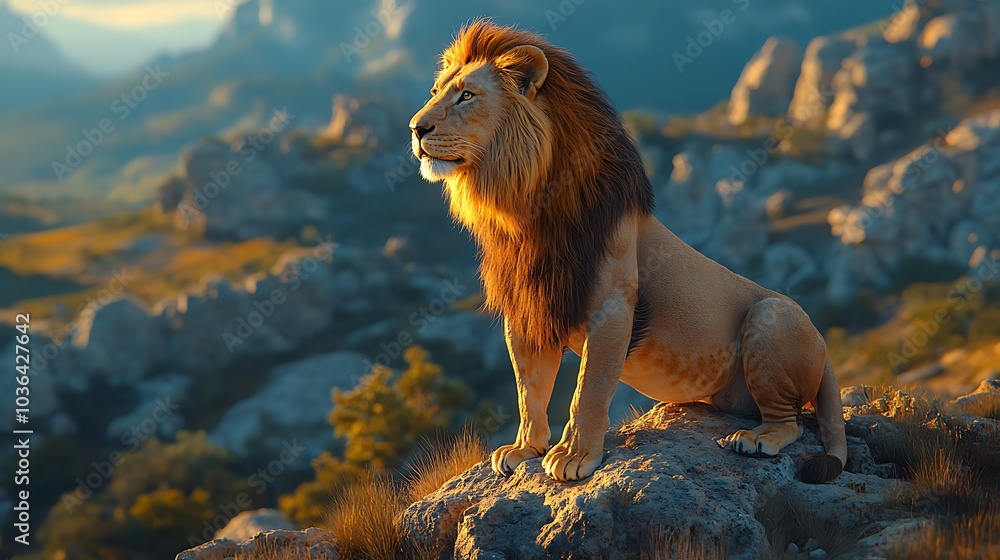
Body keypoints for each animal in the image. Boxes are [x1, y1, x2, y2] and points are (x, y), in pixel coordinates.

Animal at [408, 20, 847, 484]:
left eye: (467, 96)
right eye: (436, 90)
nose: (415, 129)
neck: (524, 211)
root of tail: (823, 345)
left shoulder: (612, 307)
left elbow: (588, 389)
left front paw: (574, 456)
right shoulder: (528, 309)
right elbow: (530, 389)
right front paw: (526, 447)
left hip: (774, 314)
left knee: (792, 421)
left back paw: (754, 439)